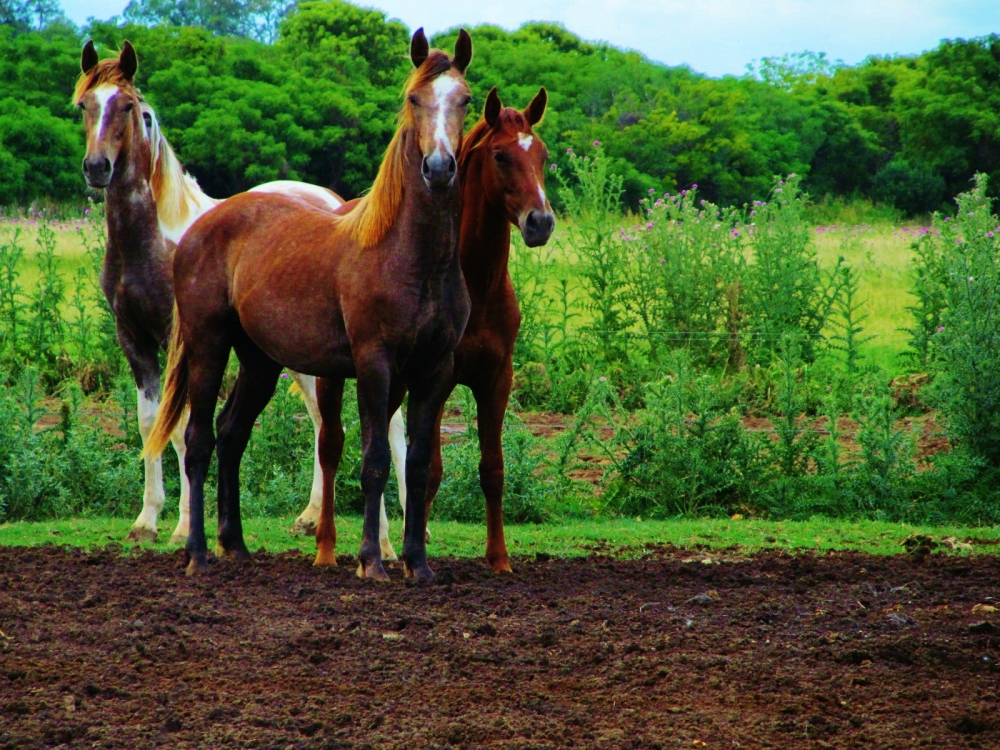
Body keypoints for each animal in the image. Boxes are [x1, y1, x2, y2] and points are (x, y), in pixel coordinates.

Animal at [75, 39, 402, 560]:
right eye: (85, 105)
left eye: (129, 107)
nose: (97, 168)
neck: (156, 238)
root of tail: (337, 204)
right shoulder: (134, 339)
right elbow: (152, 423)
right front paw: (146, 521)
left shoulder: (181, 340)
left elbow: (182, 427)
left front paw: (182, 525)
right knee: (322, 422)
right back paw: (311, 519)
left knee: (382, 429)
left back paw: (389, 541)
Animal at [146, 29, 474, 580]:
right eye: (414, 99)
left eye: (465, 100)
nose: (439, 168)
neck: (411, 258)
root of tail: (201, 227)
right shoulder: (374, 364)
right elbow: (376, 460)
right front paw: (371, 562)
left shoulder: (435, 368)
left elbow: (418, 465)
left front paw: (417, 563)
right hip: (208, 345)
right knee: (198, 442)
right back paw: (197, 553)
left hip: (259, 360)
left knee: (231, 434)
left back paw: (235, 545)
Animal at [304, 85, 556, 572]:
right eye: (500, 156)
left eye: (543, 155)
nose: (541, 222)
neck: (477, 283)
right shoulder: (441, 375)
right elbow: (431, 468)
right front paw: (415, 545)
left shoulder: (496, 378)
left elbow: (491, 468)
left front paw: (498, 557)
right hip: (332, 378)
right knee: (331, 446)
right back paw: (326, 547)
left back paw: (379, 546)